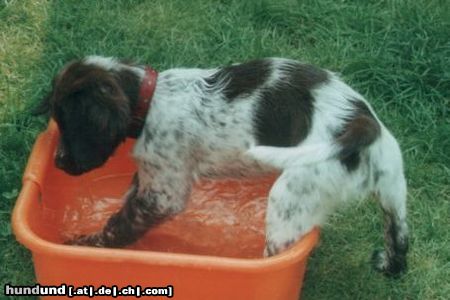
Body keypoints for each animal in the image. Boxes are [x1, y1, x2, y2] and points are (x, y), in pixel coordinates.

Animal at [35, 55, 408, 276]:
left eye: (69, 123)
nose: (59, 162)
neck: (151, 101)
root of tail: (361, 122)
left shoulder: (163, 194)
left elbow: (119, 225)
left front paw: (85, 245)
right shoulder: (151, 177)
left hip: (289, 200)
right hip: (394, 190)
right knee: (400, 244)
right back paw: (388, 264)